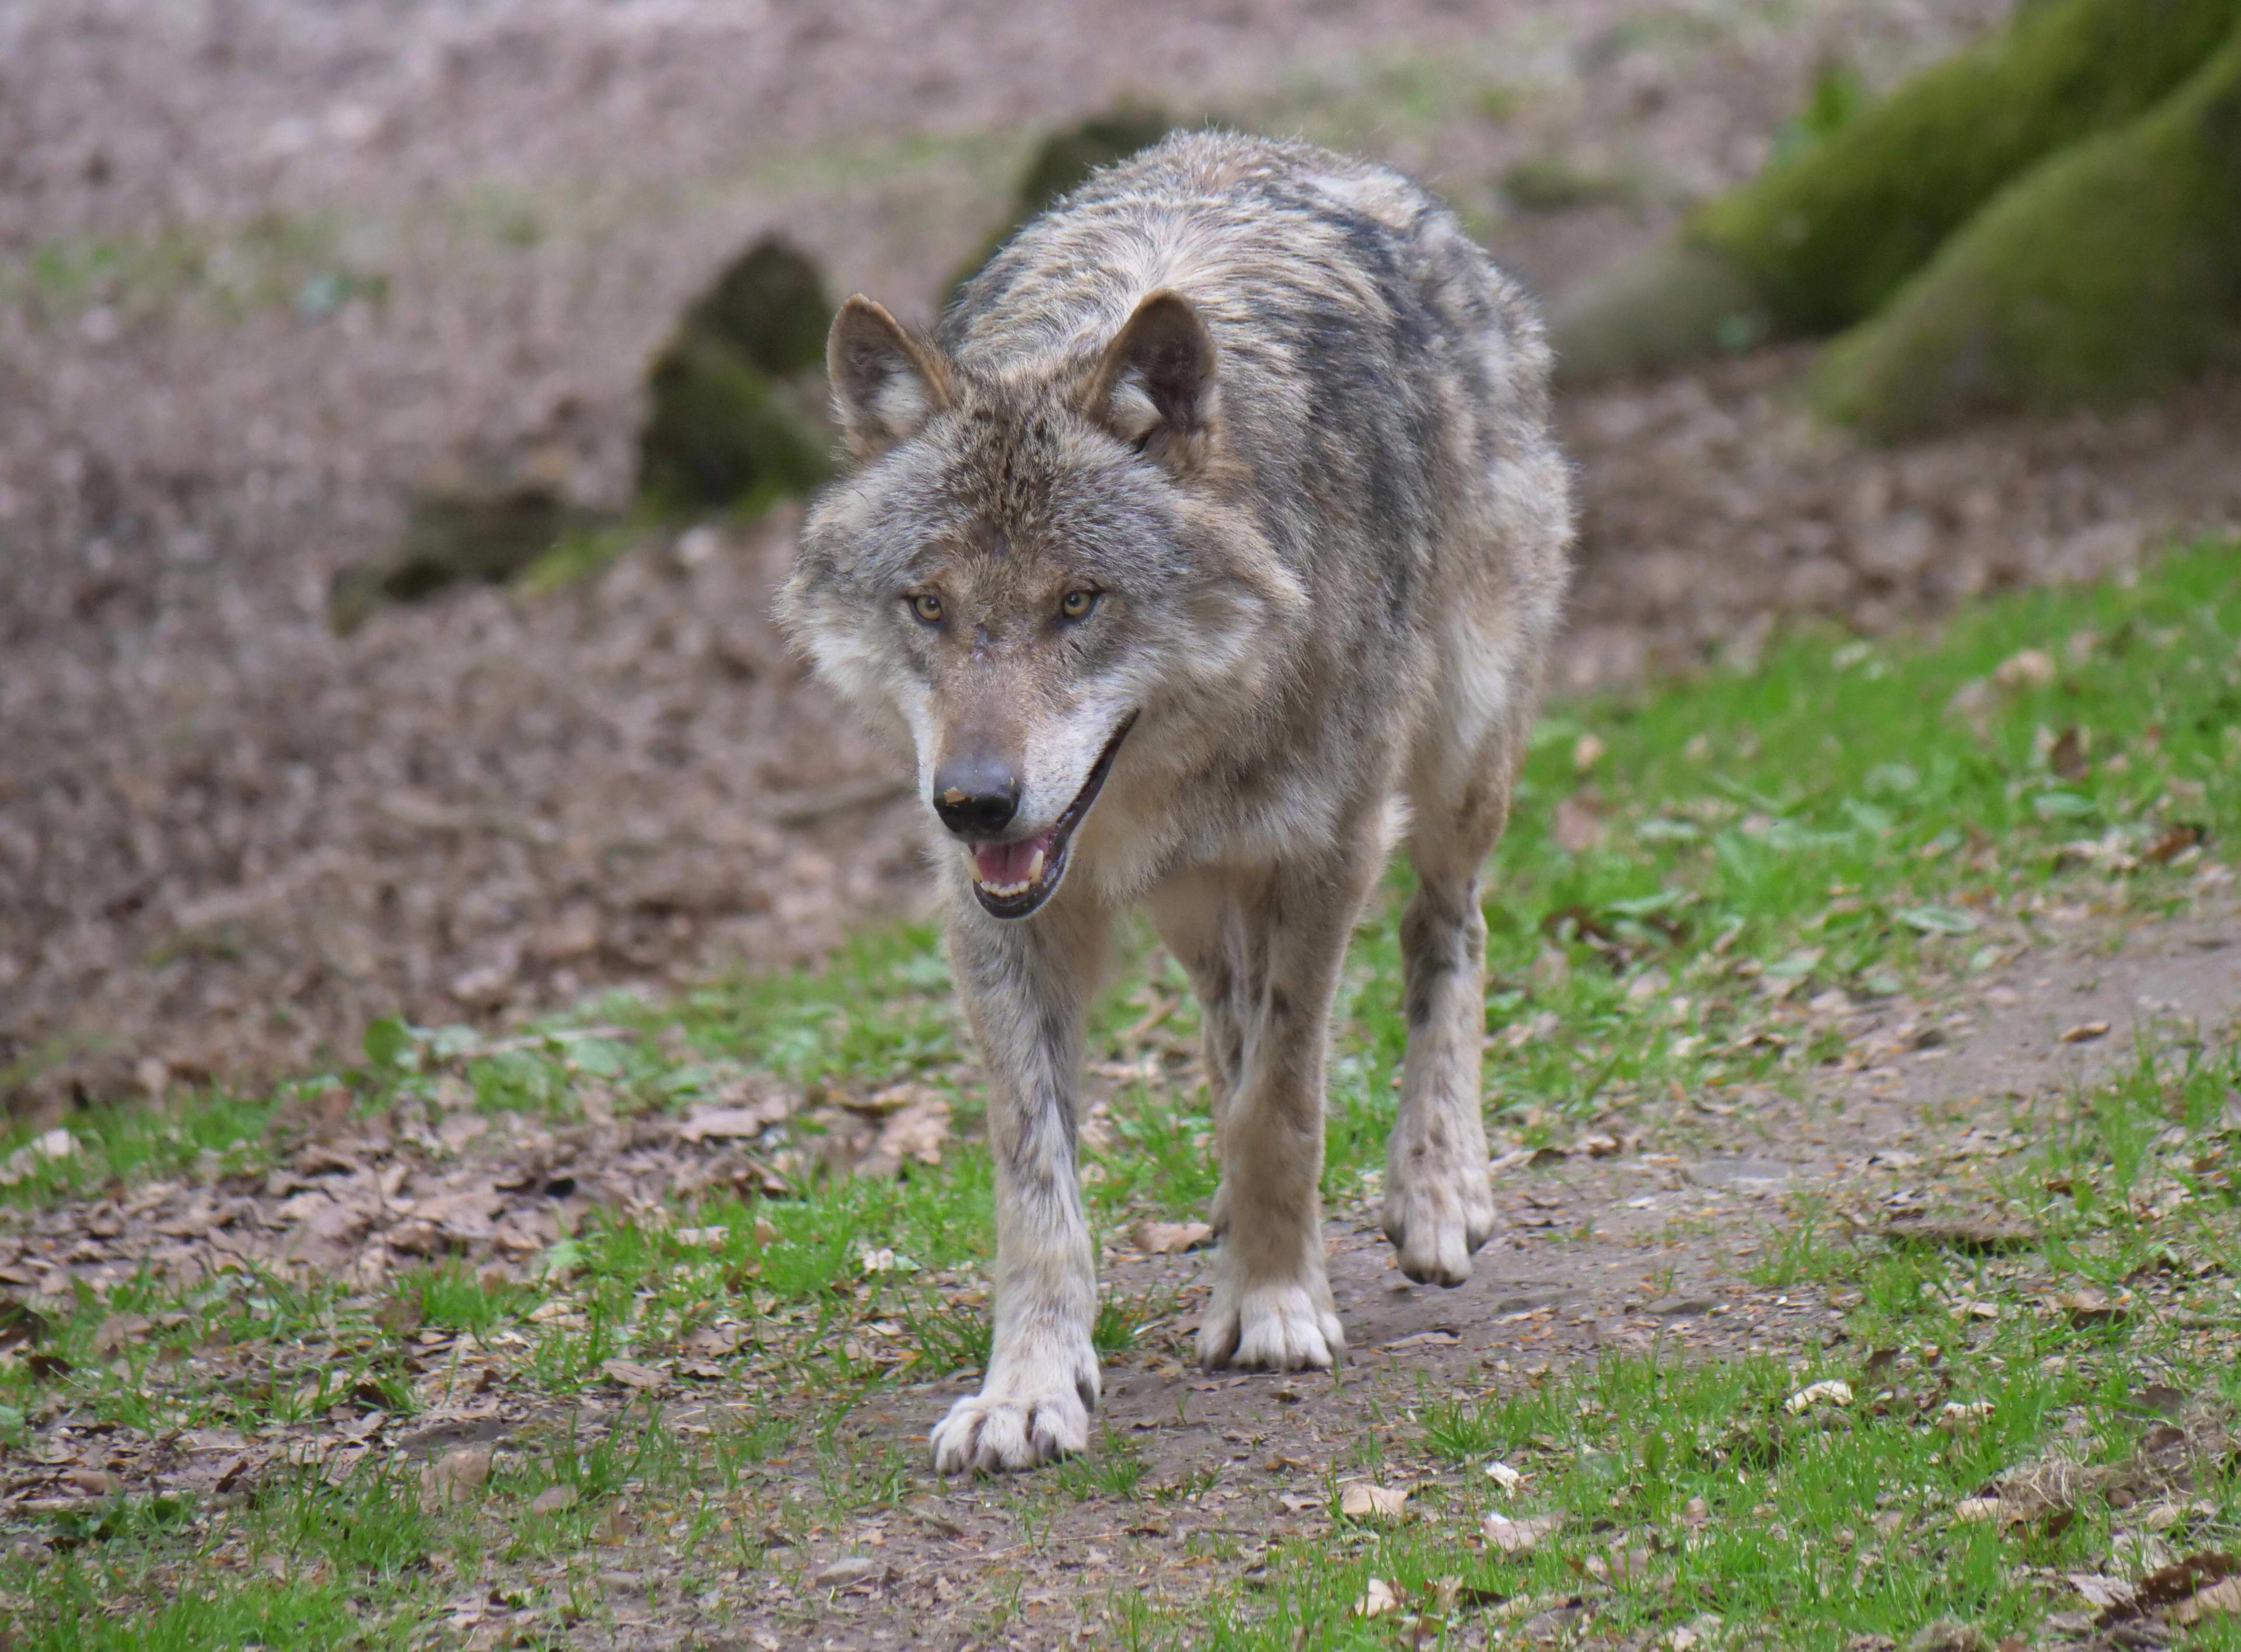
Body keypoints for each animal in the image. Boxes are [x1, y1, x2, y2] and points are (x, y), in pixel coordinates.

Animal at [780, 132, 1569, 1470]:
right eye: (928, 605)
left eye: (1079, 601)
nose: (974, 802)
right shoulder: (1000, 914)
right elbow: (1036, 1173)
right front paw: (1028, 1384)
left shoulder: (1327, 852)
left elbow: (1282, 1104)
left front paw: (1274, 1302)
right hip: (1196, 908)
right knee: (1226, 1020)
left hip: (1459, 758)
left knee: (1444, 931)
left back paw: (1435, 1187)